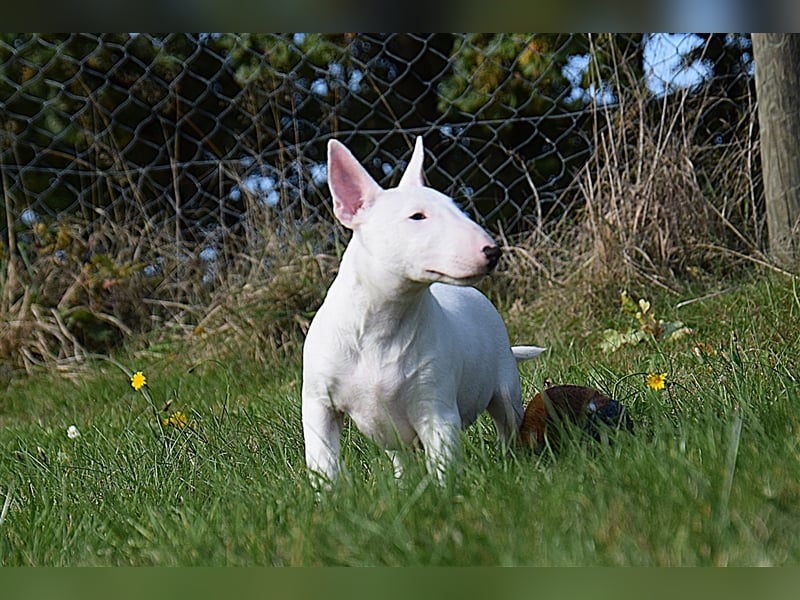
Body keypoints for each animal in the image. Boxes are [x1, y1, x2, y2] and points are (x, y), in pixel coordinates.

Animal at [300, 136, 544, 482]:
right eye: (417, 217)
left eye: (457, 208)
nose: (493, 251)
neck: (383, 320)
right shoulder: (318, 403)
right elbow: (322, 459)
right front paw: (329, 492)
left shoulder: (435, 408)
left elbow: (442, 462)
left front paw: (446, 491)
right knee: (400, 457)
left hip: (505, 387)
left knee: (508, 424)